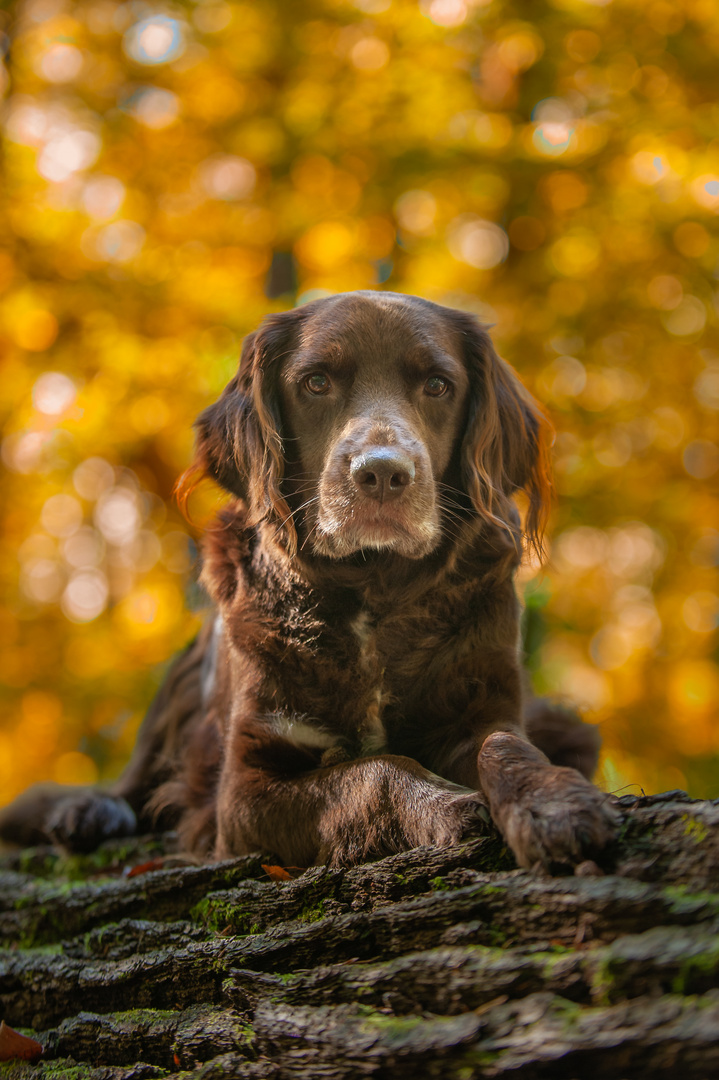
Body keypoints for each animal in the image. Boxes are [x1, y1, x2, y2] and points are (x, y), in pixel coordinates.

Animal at [0, 293, 617, 868]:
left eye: (439, 385)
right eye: (316, 382)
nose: (382, 474)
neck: (372, 589)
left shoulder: (481, 708)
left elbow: (505, 748)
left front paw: (554, 807)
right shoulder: (245, 791)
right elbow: (372, 771)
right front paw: (446, 806)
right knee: (130, 785)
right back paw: (88, 812)